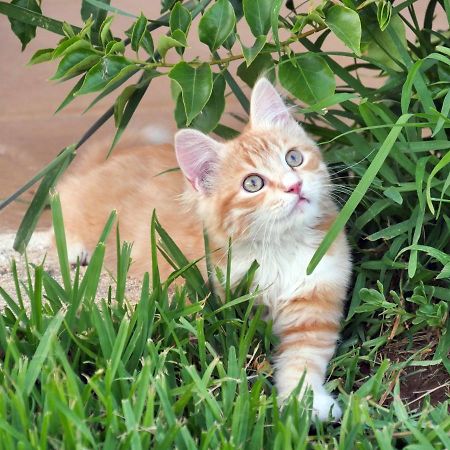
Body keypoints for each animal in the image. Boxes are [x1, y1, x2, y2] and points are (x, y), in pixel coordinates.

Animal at [56, 79, 352, 420]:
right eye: (253, 184)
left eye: (293, 159)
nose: (295, 186)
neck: (279, 248)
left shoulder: (315, 301)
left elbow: (303, 358)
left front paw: (307, 401)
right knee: (61, 200)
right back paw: (75, 248)